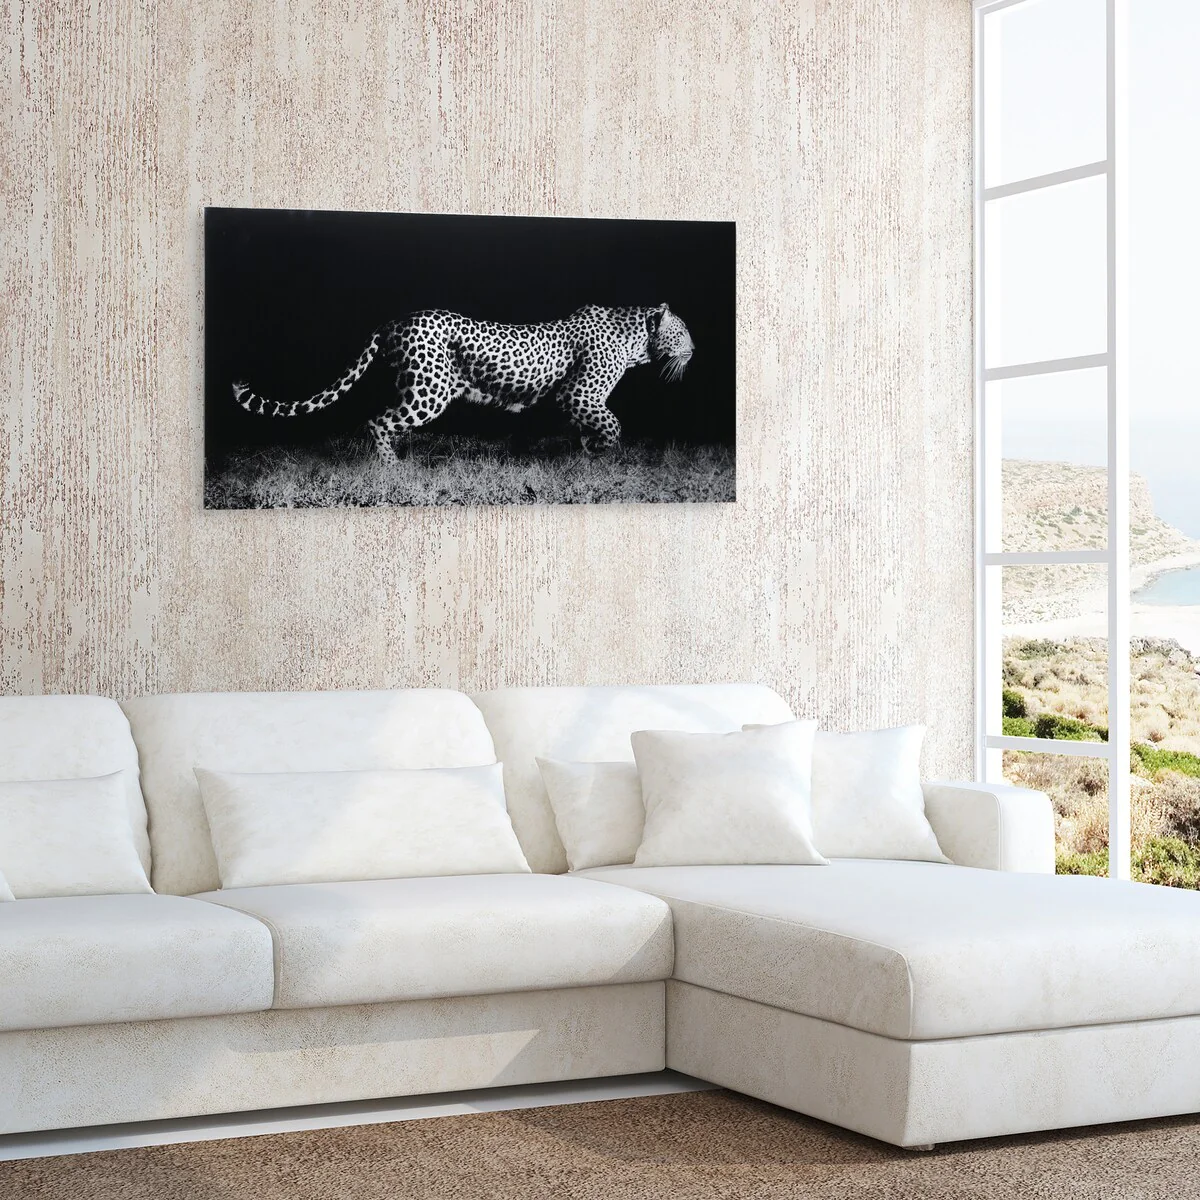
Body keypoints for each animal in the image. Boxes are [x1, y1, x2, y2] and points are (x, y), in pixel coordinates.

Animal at [230, 303, 696, 461]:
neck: (636, 342)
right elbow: (612, 424)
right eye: (684, 331)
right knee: (378, 422)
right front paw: (605, 454)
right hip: (429, 392)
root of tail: (394, 320)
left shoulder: (577, 401)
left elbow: (588, 428)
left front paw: (586, 456)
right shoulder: (578, 393)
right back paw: (392, 469)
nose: (696, 349)